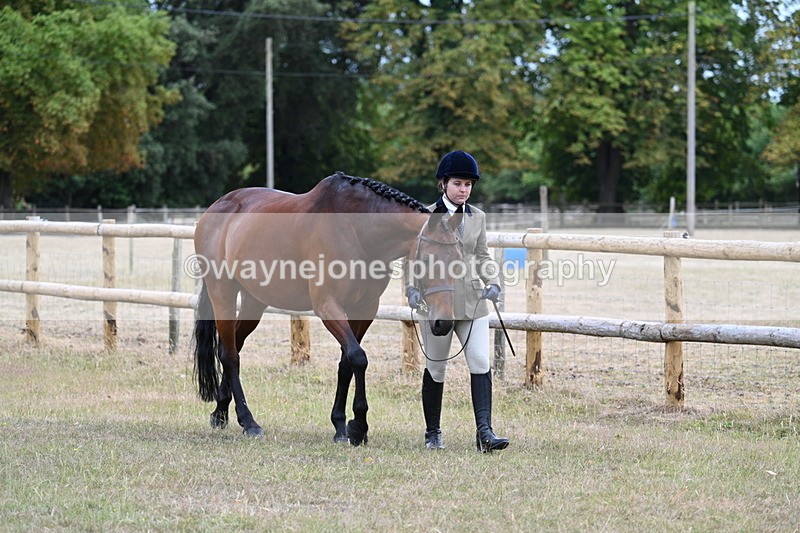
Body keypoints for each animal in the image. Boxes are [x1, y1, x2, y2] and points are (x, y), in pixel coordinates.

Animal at [192, 171, 464, 445]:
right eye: (427, 260)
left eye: (458, 261)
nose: (443, 323)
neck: (357, 232)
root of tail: (217, 208)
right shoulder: (328, 307)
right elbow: (358, 358)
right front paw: (359, 426)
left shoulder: (365, 309)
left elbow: (346, 363)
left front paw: (341, 425)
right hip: (223, 293)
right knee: (230, 355)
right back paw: (248, 422)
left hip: (254, 301)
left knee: (232, 346)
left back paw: (221, 412)